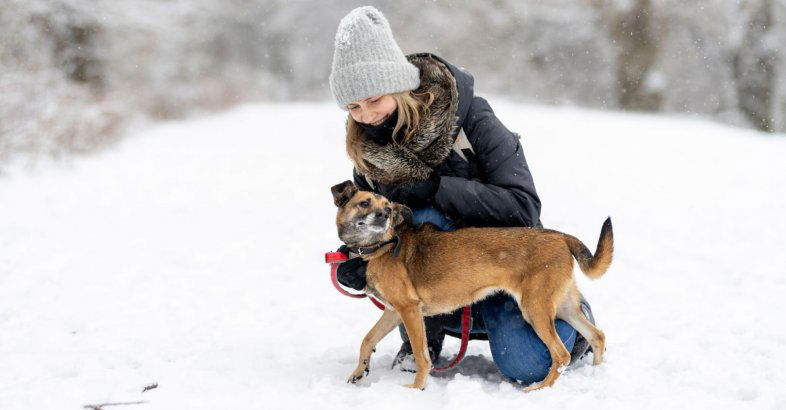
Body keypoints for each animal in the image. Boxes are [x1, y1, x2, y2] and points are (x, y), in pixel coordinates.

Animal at [330, 180, 612, 390]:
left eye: (388, 207)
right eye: (364, 202)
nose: (384, 215)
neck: (377, 248)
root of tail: (561, 237)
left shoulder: (409, 310)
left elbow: (422, 356)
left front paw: (416, 388)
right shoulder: (394, 311)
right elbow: (367, 339)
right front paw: (359, 371)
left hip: (536, 308)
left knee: (562, 354)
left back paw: (540, 388)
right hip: (562, 306)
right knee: (597, 336)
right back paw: (597, 373)